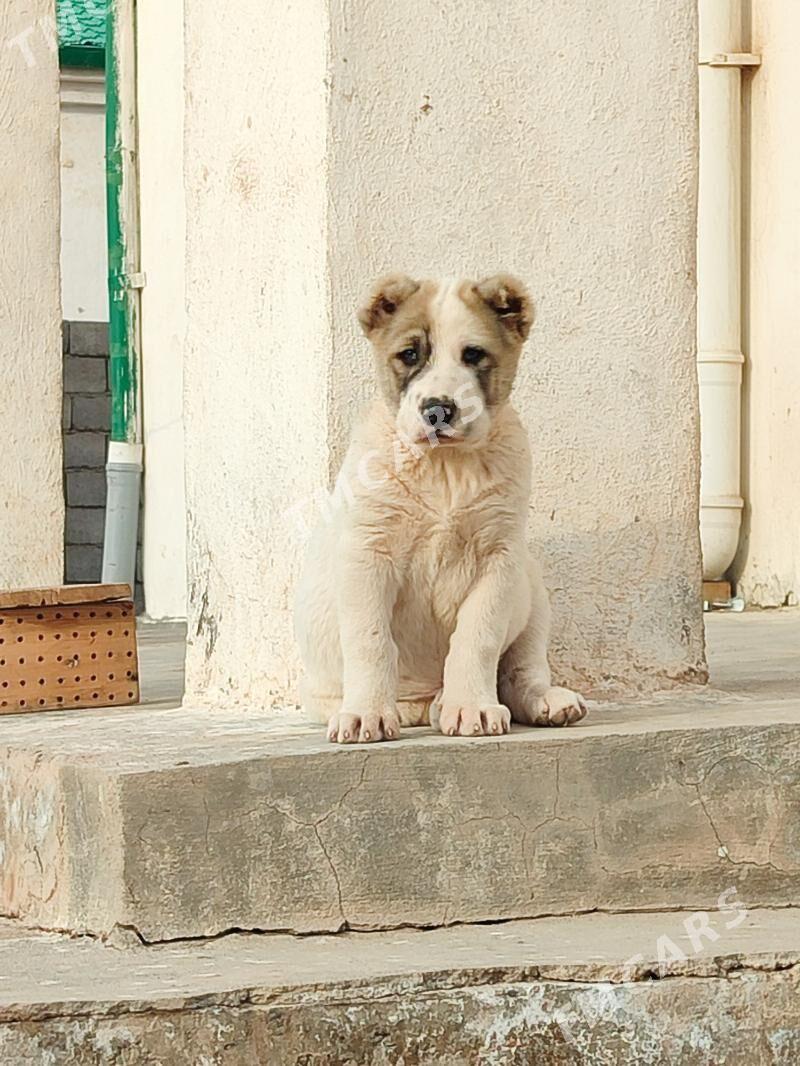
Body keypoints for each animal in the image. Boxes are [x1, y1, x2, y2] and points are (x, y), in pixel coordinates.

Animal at [294, 275, 588, 741]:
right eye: (410, 354)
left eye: (474, 355)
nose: (438, 410)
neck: (443, 467)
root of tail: (422, 701)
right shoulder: (367, 555)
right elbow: (370, 640)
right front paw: (365, 714)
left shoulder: (498, 558)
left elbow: (477, 636)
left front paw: (472, 707)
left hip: (531, 585)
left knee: (521, 669)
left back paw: (541, 701)